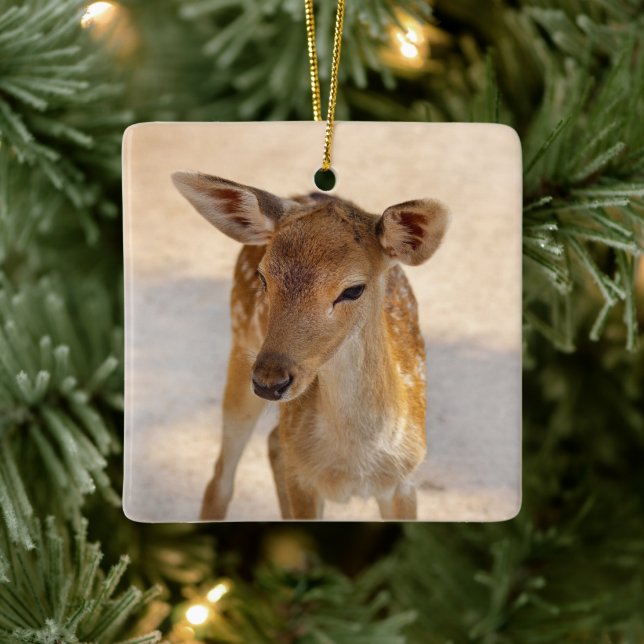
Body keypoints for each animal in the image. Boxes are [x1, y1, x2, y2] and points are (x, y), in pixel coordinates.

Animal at [171, 171, 449, 520]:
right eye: (263, 278)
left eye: (353, 289)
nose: (269, 381)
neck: (354, 465)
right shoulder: (304, 481)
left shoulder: (404, 481)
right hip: (240, 347)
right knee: (221, 476)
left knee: (273, 443)